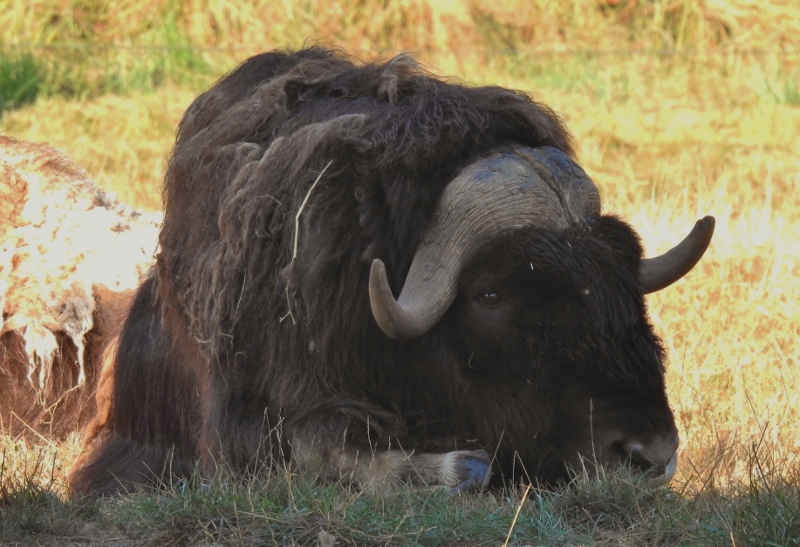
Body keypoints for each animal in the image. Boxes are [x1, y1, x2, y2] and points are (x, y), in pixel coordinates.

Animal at [68, 47, 714, 495]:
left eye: (620, 279)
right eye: (491, 295)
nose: (648, 454)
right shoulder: (251, 417)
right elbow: (320, 450)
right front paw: (457, 466)